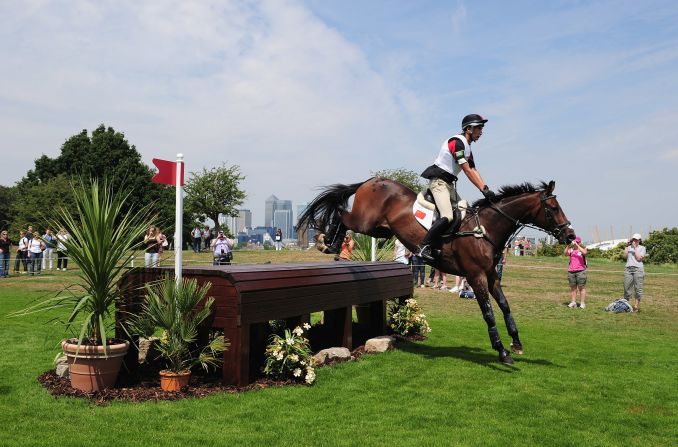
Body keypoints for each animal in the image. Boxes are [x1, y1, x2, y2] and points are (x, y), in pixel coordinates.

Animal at [296, 177, 572, 366]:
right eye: (554, 208)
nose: (569, 235)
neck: (485, 229)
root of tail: (371, 180)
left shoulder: (492, 275)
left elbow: (505, 306)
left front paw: (516, 342)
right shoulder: (476, 276)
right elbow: (489, 313)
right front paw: (501, 350)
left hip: (380, 229)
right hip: (366, 221)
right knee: (342, 214)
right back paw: (326, 241)